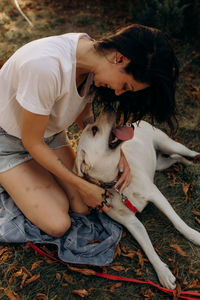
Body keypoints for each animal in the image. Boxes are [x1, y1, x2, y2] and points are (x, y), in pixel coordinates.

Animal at [74, 109, 199, 288]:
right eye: (94, 130)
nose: (108, 108)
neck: (116, 184)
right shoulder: (131, 223)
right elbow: (148, 248)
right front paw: (163, 273)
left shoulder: (156, 195)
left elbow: (178, 222)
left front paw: (195, 236)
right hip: (161, 163)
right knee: (175, 158)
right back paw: (188, 164)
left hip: (168, 143)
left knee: (184, 152)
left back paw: (194, 158)